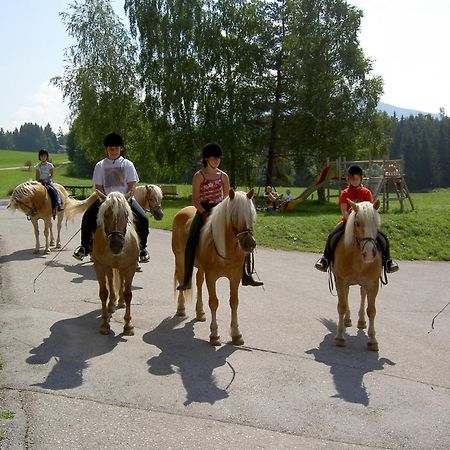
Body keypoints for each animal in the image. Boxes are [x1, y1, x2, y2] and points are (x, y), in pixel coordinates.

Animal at [92, 190, 140, 334]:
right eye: (106, 215)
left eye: (126, 214)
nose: (116, 245)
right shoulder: (100, 266)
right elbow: (103, 293)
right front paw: (104, 324)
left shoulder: (130, 267)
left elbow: (128, 294)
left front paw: (128, 325)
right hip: (109, 267)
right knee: (111, 279)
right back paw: (112, 303)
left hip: (122, 268)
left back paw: (120, 301)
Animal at [172, 188, 256, 346]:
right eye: (234, 216)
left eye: (252, 215)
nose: (250, 244)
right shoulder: (211, 276)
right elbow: (214, 302)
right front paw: (214, 335)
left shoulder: (235, 277)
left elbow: (234, 302)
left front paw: (236, 334)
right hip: (180, 259)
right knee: (181, 280)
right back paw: (180, 308)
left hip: (201, 267)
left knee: (198, 282)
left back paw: (200, 313)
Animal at [330, 200, 384, 352]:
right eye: (357, 223)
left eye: (376, 223)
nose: (370, 253)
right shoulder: (340, 281)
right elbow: (341, 306)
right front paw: (340, 337)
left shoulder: (373, 283)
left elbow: (372, 310)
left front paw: (372, 340)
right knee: (347, 296)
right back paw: (347, 320)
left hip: (364, 284)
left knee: (362, 295)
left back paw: (361, 321)